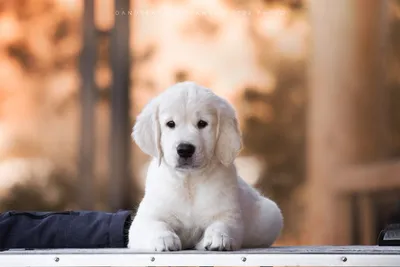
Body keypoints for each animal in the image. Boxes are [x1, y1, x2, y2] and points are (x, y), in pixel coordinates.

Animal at [127, 81, 282, 251]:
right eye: (170, 124)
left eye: (202, 123)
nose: (185, 149)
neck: (189, 182)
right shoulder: (146, 217)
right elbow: (155, 225)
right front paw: (163, 239)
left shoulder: (229, 214)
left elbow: (222, 224)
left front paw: (218, 237)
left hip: (272, 214)